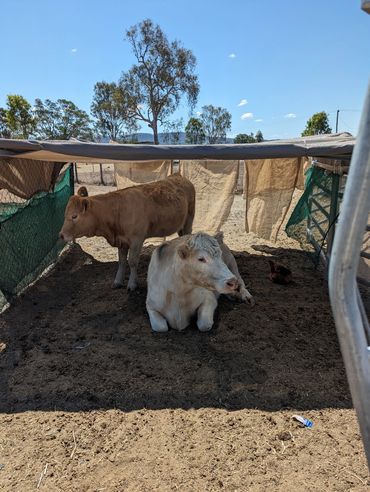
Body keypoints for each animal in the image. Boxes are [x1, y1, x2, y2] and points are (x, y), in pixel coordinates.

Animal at [59, 173, 195, 290]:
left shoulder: (137, 240)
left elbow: (132, 262)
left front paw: (132, 284)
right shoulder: (122, 241)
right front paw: (118, 281)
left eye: (74, 216)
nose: (61, 235)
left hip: (189, 221)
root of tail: (177, 175)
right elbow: (122, 262)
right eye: (65, 214)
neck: (117, 210)